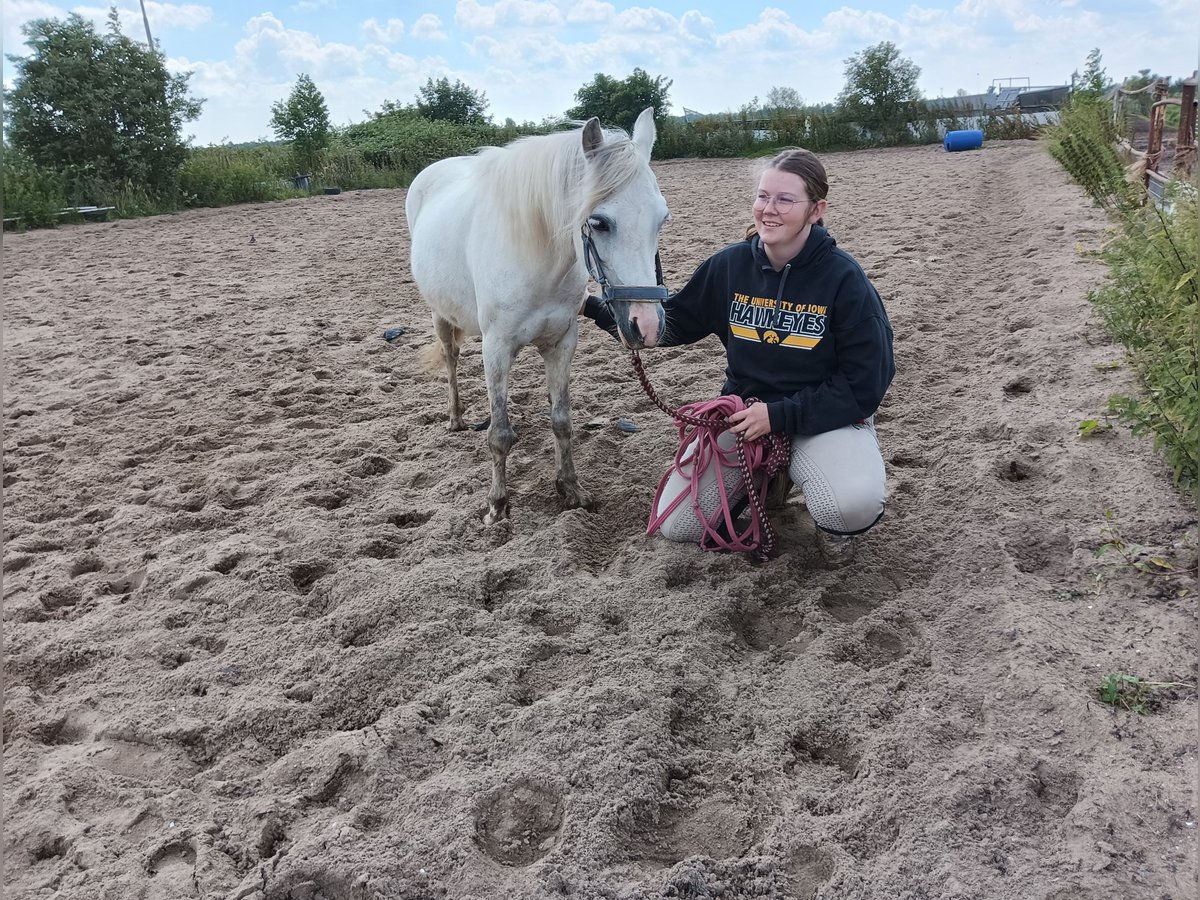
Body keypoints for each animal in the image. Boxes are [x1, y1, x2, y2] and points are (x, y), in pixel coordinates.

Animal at [403, 108, 667, 525]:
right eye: (599, 222)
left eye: (662, 219)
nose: (648, 325)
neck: (541, 258)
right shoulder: (496, 348)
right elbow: (499, 435)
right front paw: (496, 505)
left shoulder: (561, 343)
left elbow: (561, 421)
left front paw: (571, 490)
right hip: (439, 314)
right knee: (450, 357)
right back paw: (456, 417)